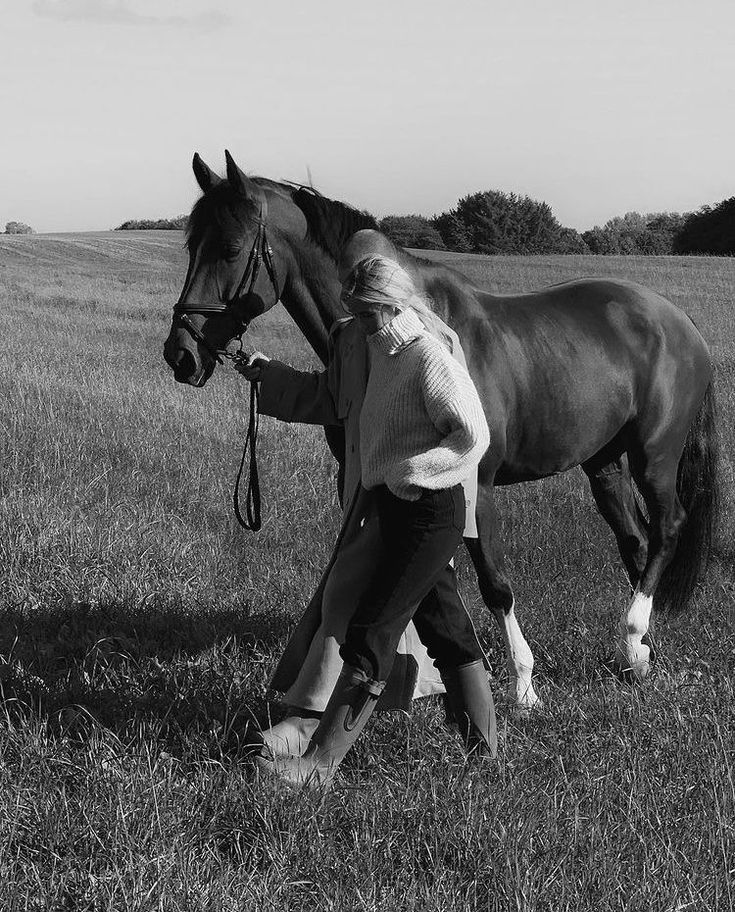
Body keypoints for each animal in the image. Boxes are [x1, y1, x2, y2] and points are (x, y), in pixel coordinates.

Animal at [161, 150, 720, 712]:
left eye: (231, 249)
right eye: (191, 245)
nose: (180, 355)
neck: (401, 326)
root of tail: (677, 319)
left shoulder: (476, 488)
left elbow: (494, 583)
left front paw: (523, 685)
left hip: (655, 456)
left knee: (666, 528)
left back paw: (633, 635)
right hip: (603, 463)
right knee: (635, 540)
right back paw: (639, 652)